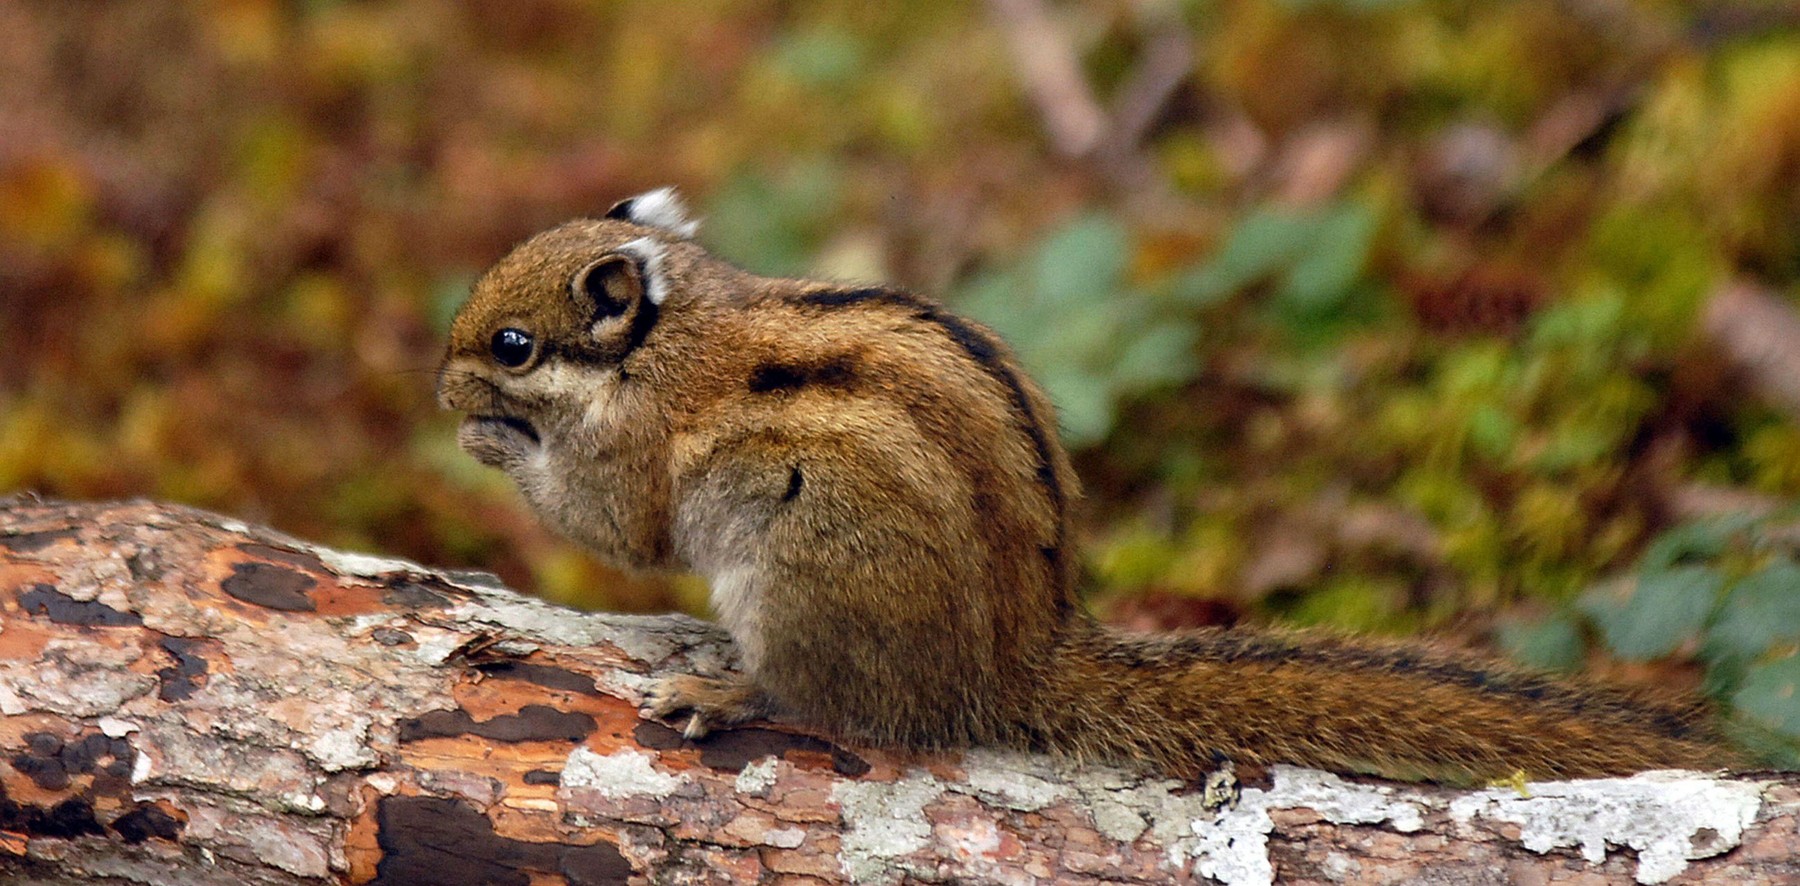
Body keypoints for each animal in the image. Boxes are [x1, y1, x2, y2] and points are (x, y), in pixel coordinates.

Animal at [437, 187, 1737, 784]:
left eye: (512, 343)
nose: (439, 381)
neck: (671, 336)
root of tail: (1014, 662)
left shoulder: (637, 458)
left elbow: (618, 527)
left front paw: (494, 442)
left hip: (800, 579)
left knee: (823, 701)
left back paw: (720, 689)